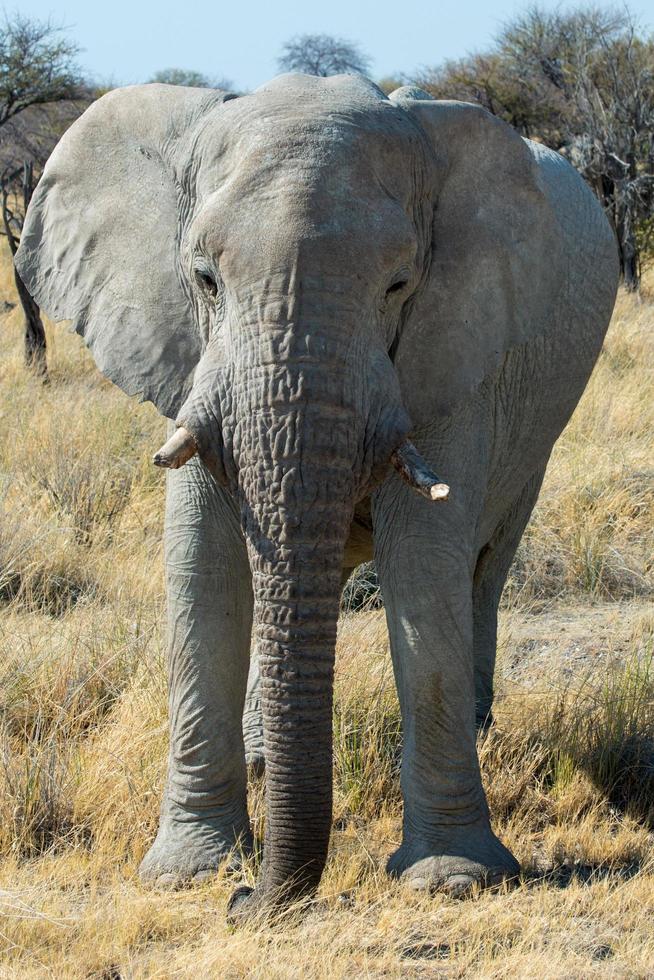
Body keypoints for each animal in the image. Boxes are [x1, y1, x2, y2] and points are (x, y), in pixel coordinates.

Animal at [15, 72, 620, 916]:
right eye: (204, 279)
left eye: (399, 284)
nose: (249, 898)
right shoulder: (191, 360)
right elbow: (201, 564)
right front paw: (189, 872)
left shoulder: (457, 347)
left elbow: (425, 565)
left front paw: (454, 878)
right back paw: (264, 762)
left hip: (537, 436)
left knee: (482, 567)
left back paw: (474, 729)